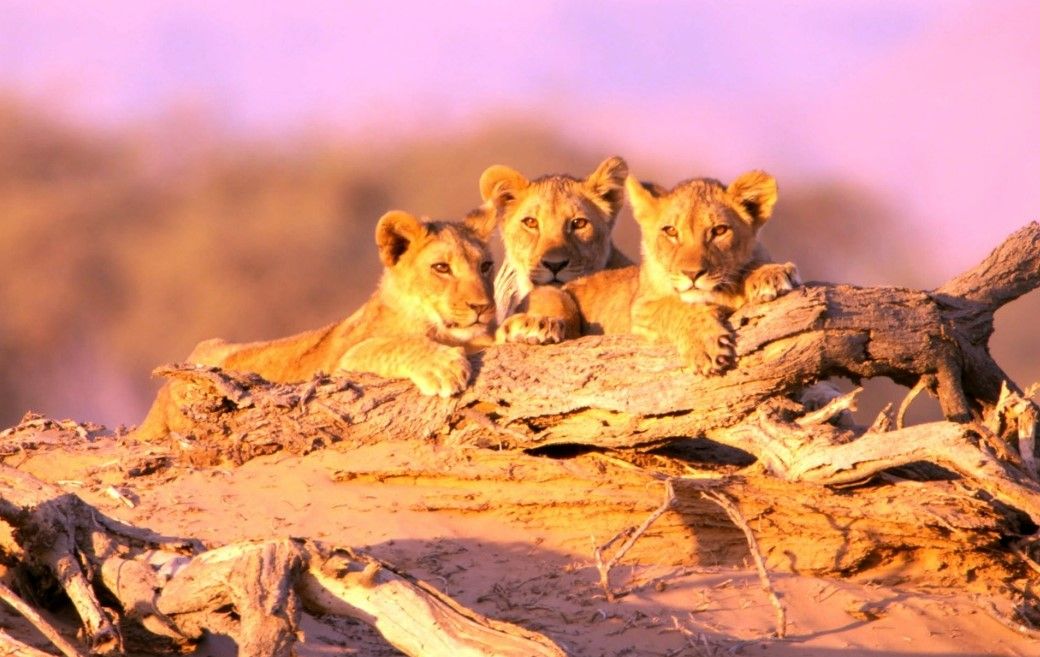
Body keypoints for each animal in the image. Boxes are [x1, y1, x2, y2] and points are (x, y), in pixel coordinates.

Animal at [136, 209, 496, 439]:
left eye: (486, 266)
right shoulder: (342, 367)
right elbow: (389, 345)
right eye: (441, 268)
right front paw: (444, 368)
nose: (482, 307)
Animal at [506, 170, 800, 375]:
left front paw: (772, 275)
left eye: (719, 231)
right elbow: (676, 308)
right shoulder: (642, 310)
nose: (692, 274)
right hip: (554, 296)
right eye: (670, 231)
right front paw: (706, 347)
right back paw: (537, 326)